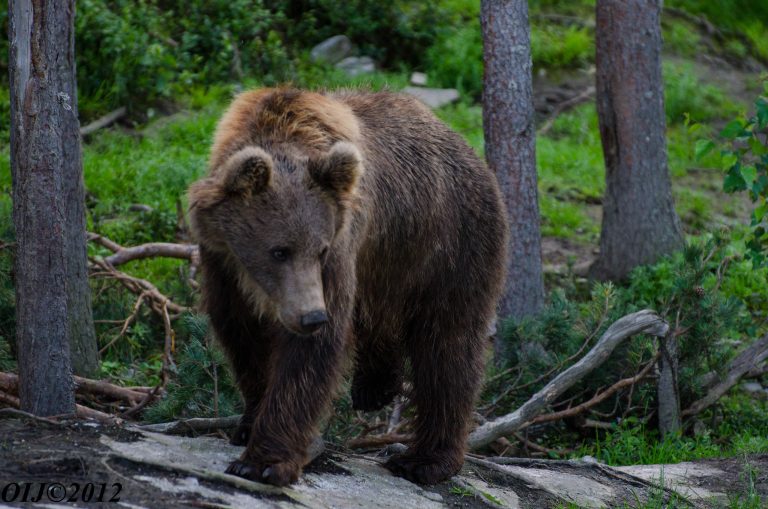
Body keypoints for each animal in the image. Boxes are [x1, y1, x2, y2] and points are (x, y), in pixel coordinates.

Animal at [188, 87, 508, 484]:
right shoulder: (222, 263)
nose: (311, 316)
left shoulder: (339, 251)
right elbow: (242, 335)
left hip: (451, 243)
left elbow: (310, 357)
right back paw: (375, 388)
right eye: (279, 250)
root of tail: (472, 153)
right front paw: (249, 423)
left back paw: (425, 459)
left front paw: (263, 461)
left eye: (320, 249)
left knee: (447, 346)